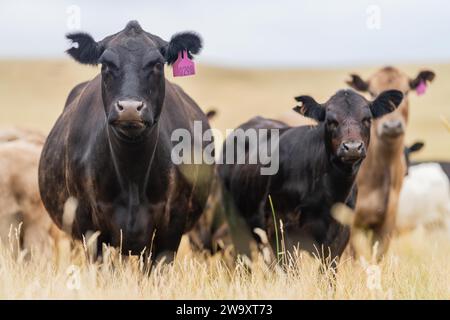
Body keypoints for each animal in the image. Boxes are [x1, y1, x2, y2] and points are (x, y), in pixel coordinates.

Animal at [38, 20, 214, 262]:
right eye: (106, 64)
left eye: (157, 64)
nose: (130, 108)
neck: (132, 176)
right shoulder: (88, 224)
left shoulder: (173, 224)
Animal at [216, 88, 402, 270]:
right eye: (330, 120)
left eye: (367, 119)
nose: (352, 147)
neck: (327, 194)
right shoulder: (279, 229)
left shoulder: (340, 235)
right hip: (237, 225)